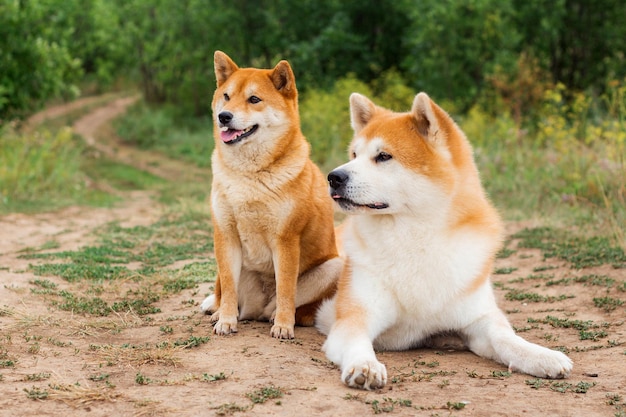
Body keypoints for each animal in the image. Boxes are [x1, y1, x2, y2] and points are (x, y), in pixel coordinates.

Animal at [202, 52, 342, 338]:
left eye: (254, 99)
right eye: (226, 96)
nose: (224, 116)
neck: (249, 175)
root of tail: (258, 309)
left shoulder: (286, 239)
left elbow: (286, 289)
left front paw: (284, 326)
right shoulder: (225, 235)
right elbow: (229, 290)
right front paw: (226, 321)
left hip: (333, 267)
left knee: (290, 305)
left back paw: (282, 317)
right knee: (225, 294)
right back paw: (223, 313)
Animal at [314, 92, 572, 390]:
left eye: (383, 156)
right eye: (354, 155)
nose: (333, 177)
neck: (415, 238)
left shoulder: (479, 319)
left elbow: (507, 338)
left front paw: (542, 356)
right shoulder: (354, 318)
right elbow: (358, 344)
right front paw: (365, 365)